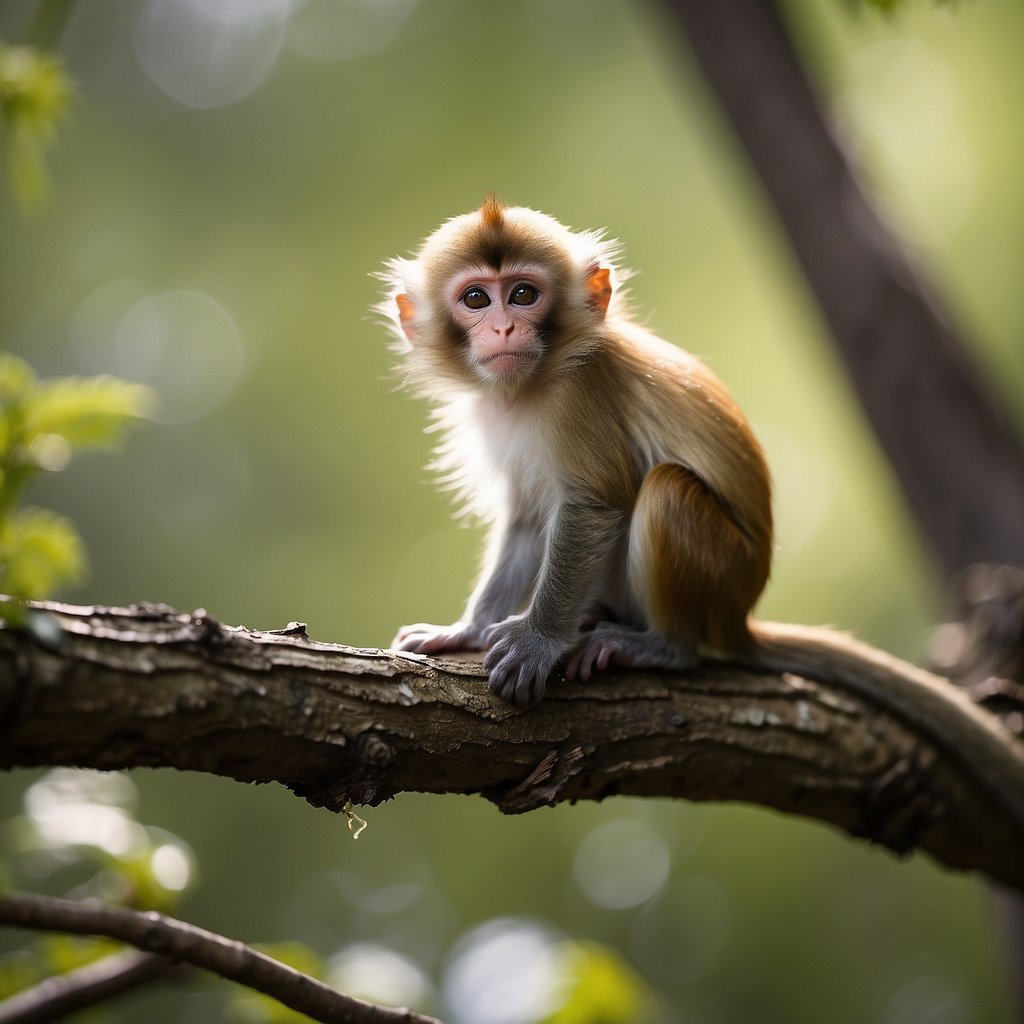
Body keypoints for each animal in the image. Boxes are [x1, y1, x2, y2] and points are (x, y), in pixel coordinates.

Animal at [379, 196, 1024, 830]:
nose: (504, 327)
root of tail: (738, 617)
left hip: (720, 574)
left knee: (666, 491)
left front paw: (537, 642)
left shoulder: (579, 397)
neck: (529, 388)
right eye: (475, 299)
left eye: (521, 294)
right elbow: (528, 523)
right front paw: (465, 629)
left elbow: (594, 504)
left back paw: (660, 646)